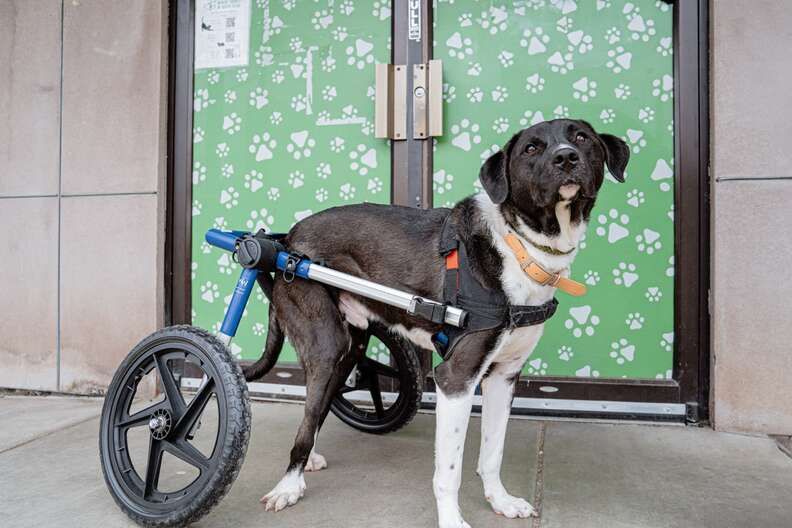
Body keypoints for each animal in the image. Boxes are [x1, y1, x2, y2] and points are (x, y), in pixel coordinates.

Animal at [244, 119, 628, 528]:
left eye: (581, 138)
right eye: (531, 148)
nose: (566, 157)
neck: (520, 245)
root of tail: (287, 241)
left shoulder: (504, 376)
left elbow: (492, 453)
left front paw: (501, 500)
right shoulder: (455, 379)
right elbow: (449, 471)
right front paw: (451, 519)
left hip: (351, 345)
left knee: (319, 405)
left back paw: (309, 460)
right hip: (326, 344)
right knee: (310, 411)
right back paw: (289, 484)